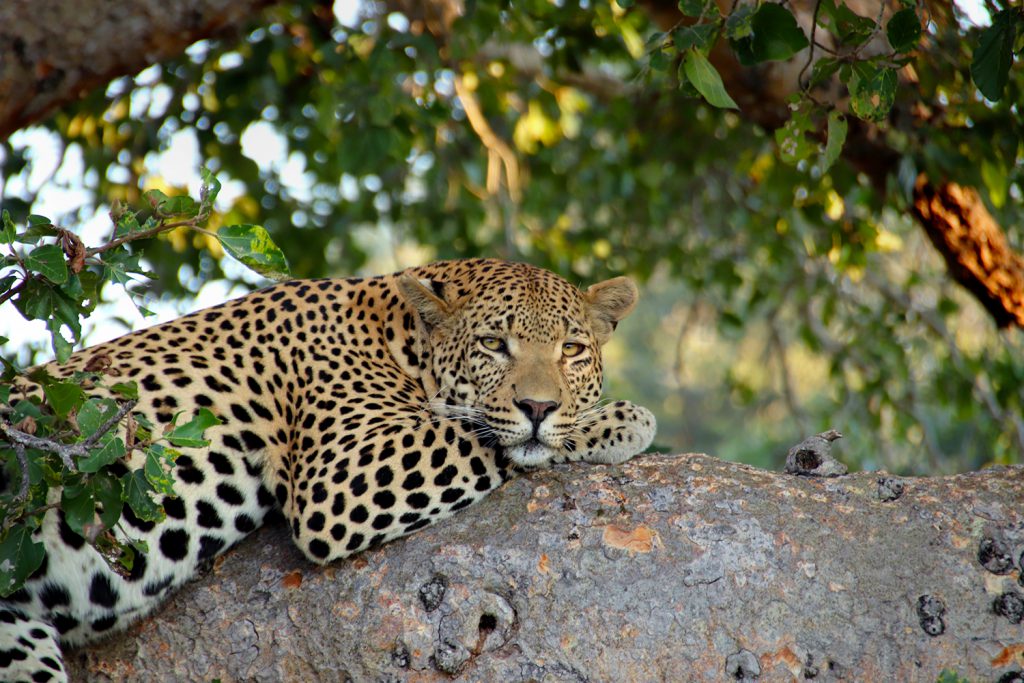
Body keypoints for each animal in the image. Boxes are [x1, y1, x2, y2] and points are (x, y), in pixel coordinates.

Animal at [0, 259, 655, 679]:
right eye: (494, 344)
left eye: (571, 349)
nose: (540, 407)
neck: (399, 335)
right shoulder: (342, 472)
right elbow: (476, 432)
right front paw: (620, 420)